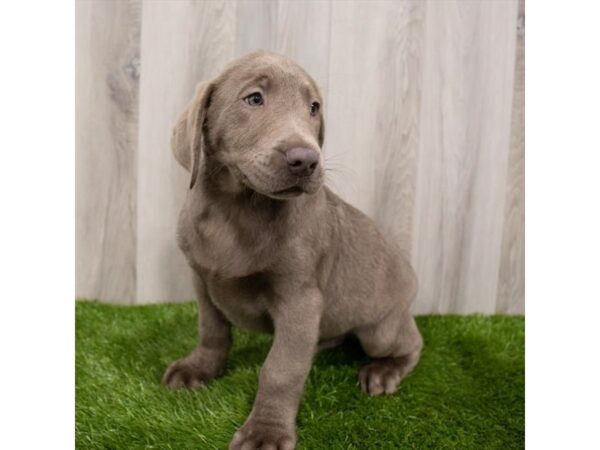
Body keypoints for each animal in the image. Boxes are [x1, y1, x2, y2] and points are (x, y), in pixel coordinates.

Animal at [162, 50, 420, 450]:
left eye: (313, 108)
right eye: (254, 98)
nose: (307, 160)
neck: (237, 209)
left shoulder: (300, 298)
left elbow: (281, 368)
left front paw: (265, 431)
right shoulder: (202, 282)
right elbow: (212, 330)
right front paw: (199, 368)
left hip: (381, 329)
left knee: (411, 342)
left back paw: (384, 371)